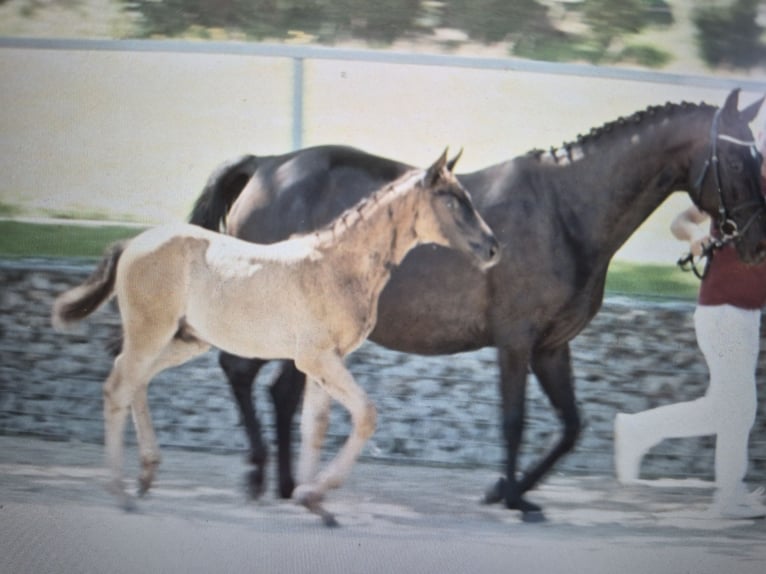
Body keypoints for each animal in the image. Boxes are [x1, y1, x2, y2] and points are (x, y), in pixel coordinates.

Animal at [51, 150, 500, 525]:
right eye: (450, 200)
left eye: (466, 196)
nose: (493, 247)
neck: (337, 265)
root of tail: (133, 243)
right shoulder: (316, 359)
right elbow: (365, 414)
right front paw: (313, 493)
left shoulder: (324, 361)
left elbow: (315, 425)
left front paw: (312, 501)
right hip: (152, 331)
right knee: (118, 386)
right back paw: (122, 491)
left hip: (184, 340)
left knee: (135, 380)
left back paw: (146, 477)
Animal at [189, 89, 766, 522]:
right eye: (742, 158)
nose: (755, 244)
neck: (566, 210)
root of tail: (266, 166)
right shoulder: (516, 339)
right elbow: (514, 420)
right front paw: (511, 497)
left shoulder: (552, 346)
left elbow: (571, 425)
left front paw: (509, 491)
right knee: (239, 372)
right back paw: (260, 474)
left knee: (279, 392)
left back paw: (289, 485)